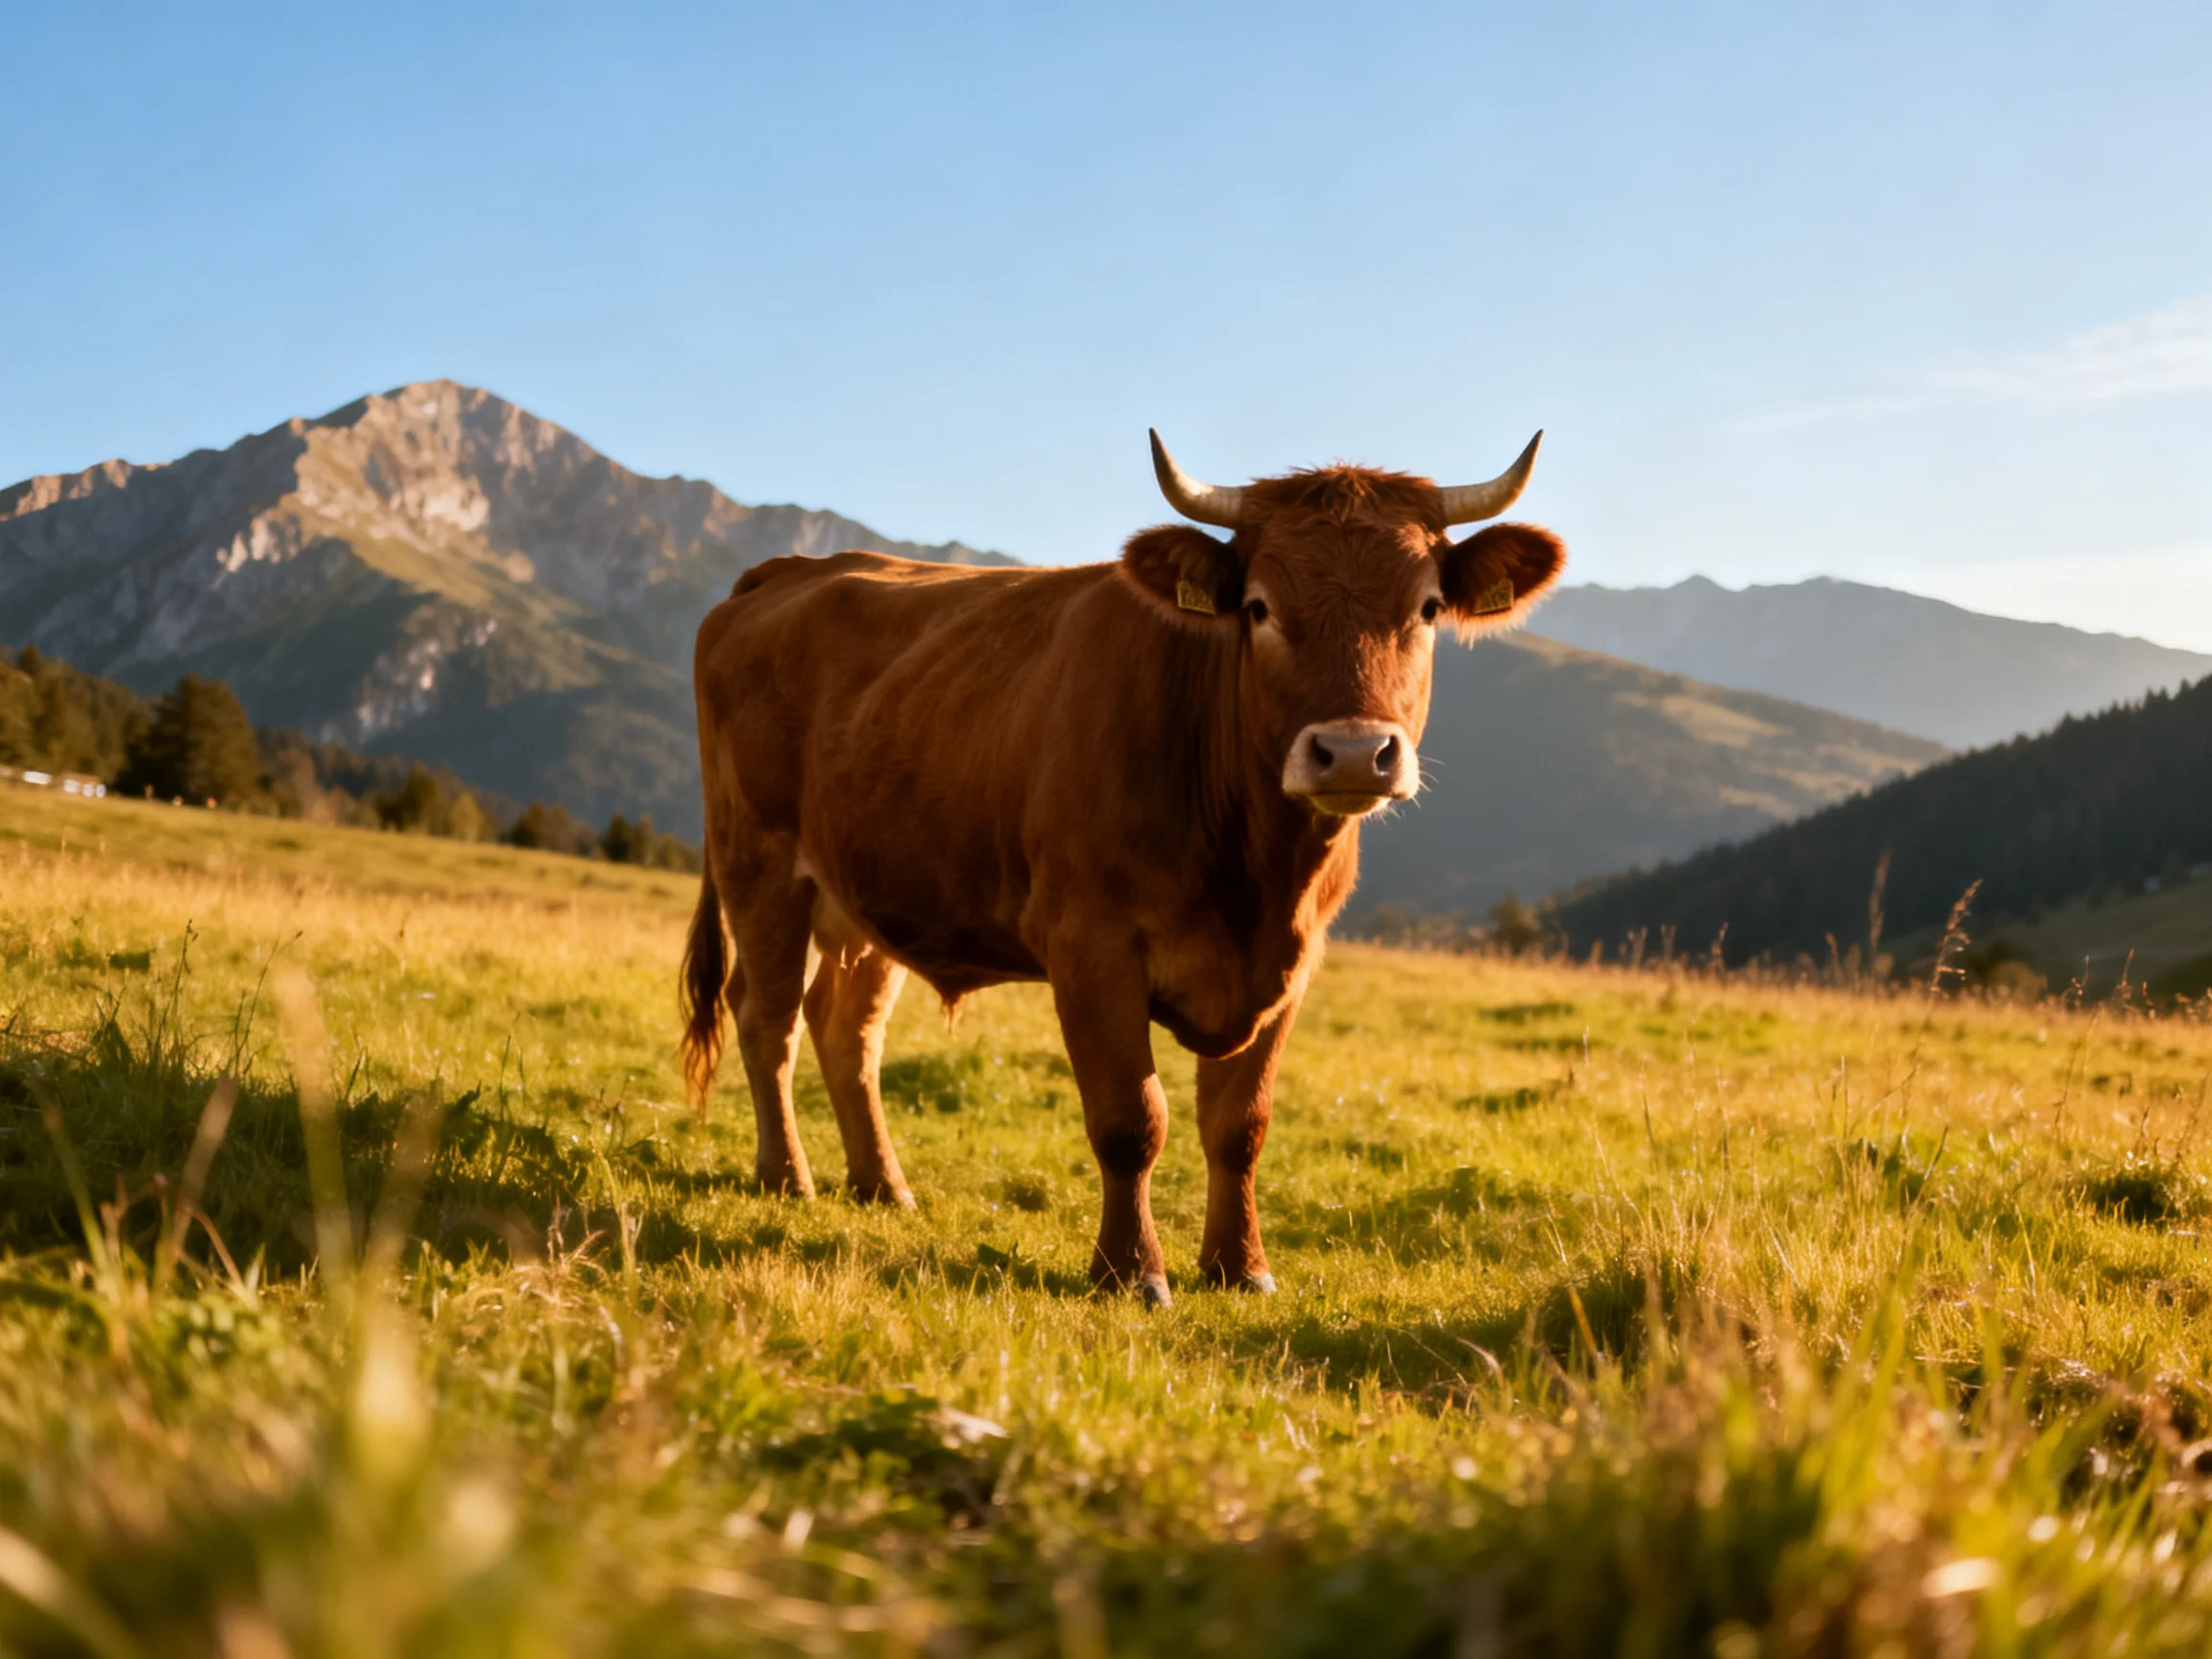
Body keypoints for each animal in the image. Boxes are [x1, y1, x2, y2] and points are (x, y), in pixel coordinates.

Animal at [681, 432, 1564, 1304]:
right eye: (1259, 607)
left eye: (1426, 609)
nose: (1351, 752)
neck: (1256, 875)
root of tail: (789, 570)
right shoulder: (1090, 945)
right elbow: (1130, 1119)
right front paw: (1131, 1270)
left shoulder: (1293, 963)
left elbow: (1240, 1126)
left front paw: (1240, 1266)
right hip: (759, 862)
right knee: (768, 1017)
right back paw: (786, 1176)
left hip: (867, 895)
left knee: (847, 1030)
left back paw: (882, 1185)